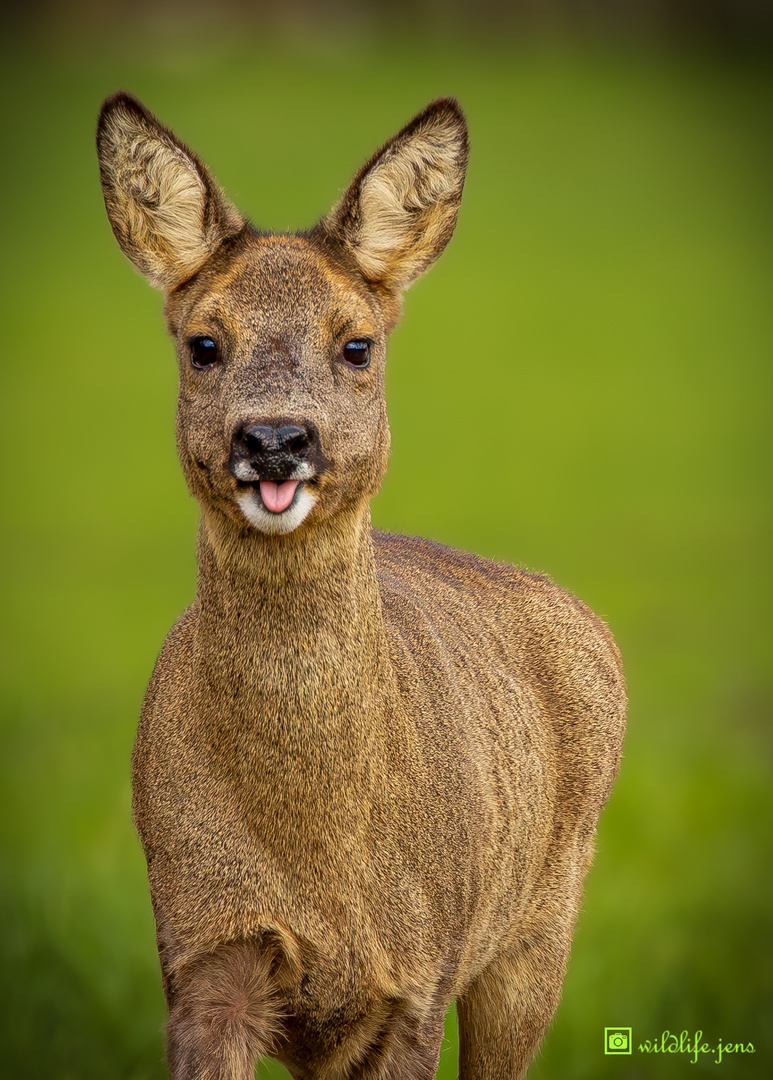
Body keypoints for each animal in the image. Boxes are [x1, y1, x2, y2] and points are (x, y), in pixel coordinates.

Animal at [98, 90, 626, 1080]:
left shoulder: (417, 981)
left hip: (539, 928)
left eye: (356, 343)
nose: (274, 439)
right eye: (203, 343)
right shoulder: (202, 956)